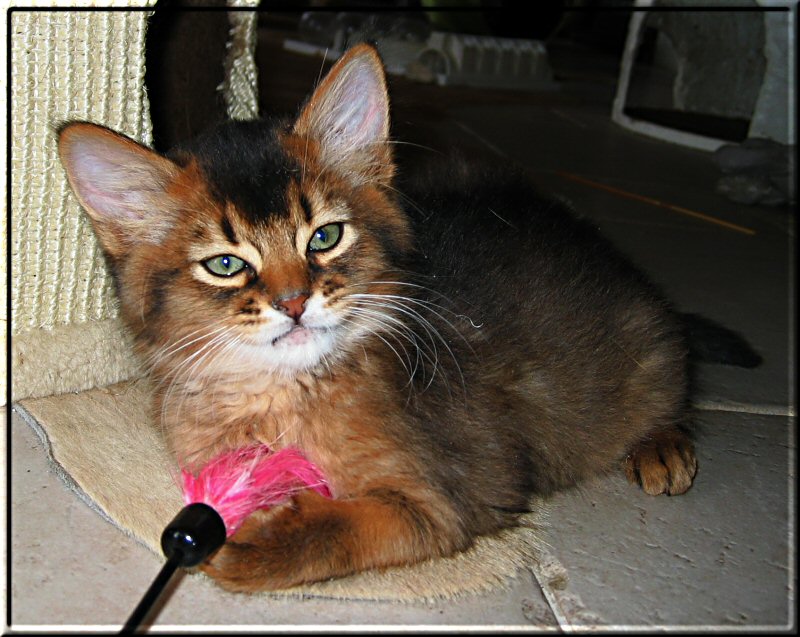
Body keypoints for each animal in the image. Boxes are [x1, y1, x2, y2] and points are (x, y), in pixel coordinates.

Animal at [57, 44, 708, 592]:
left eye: (324, 236)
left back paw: (662, 448)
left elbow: (349, 526)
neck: (282, 393)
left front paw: (261, 543)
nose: (294, 301)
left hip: (648, 357)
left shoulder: (449, 495)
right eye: (225, 264)